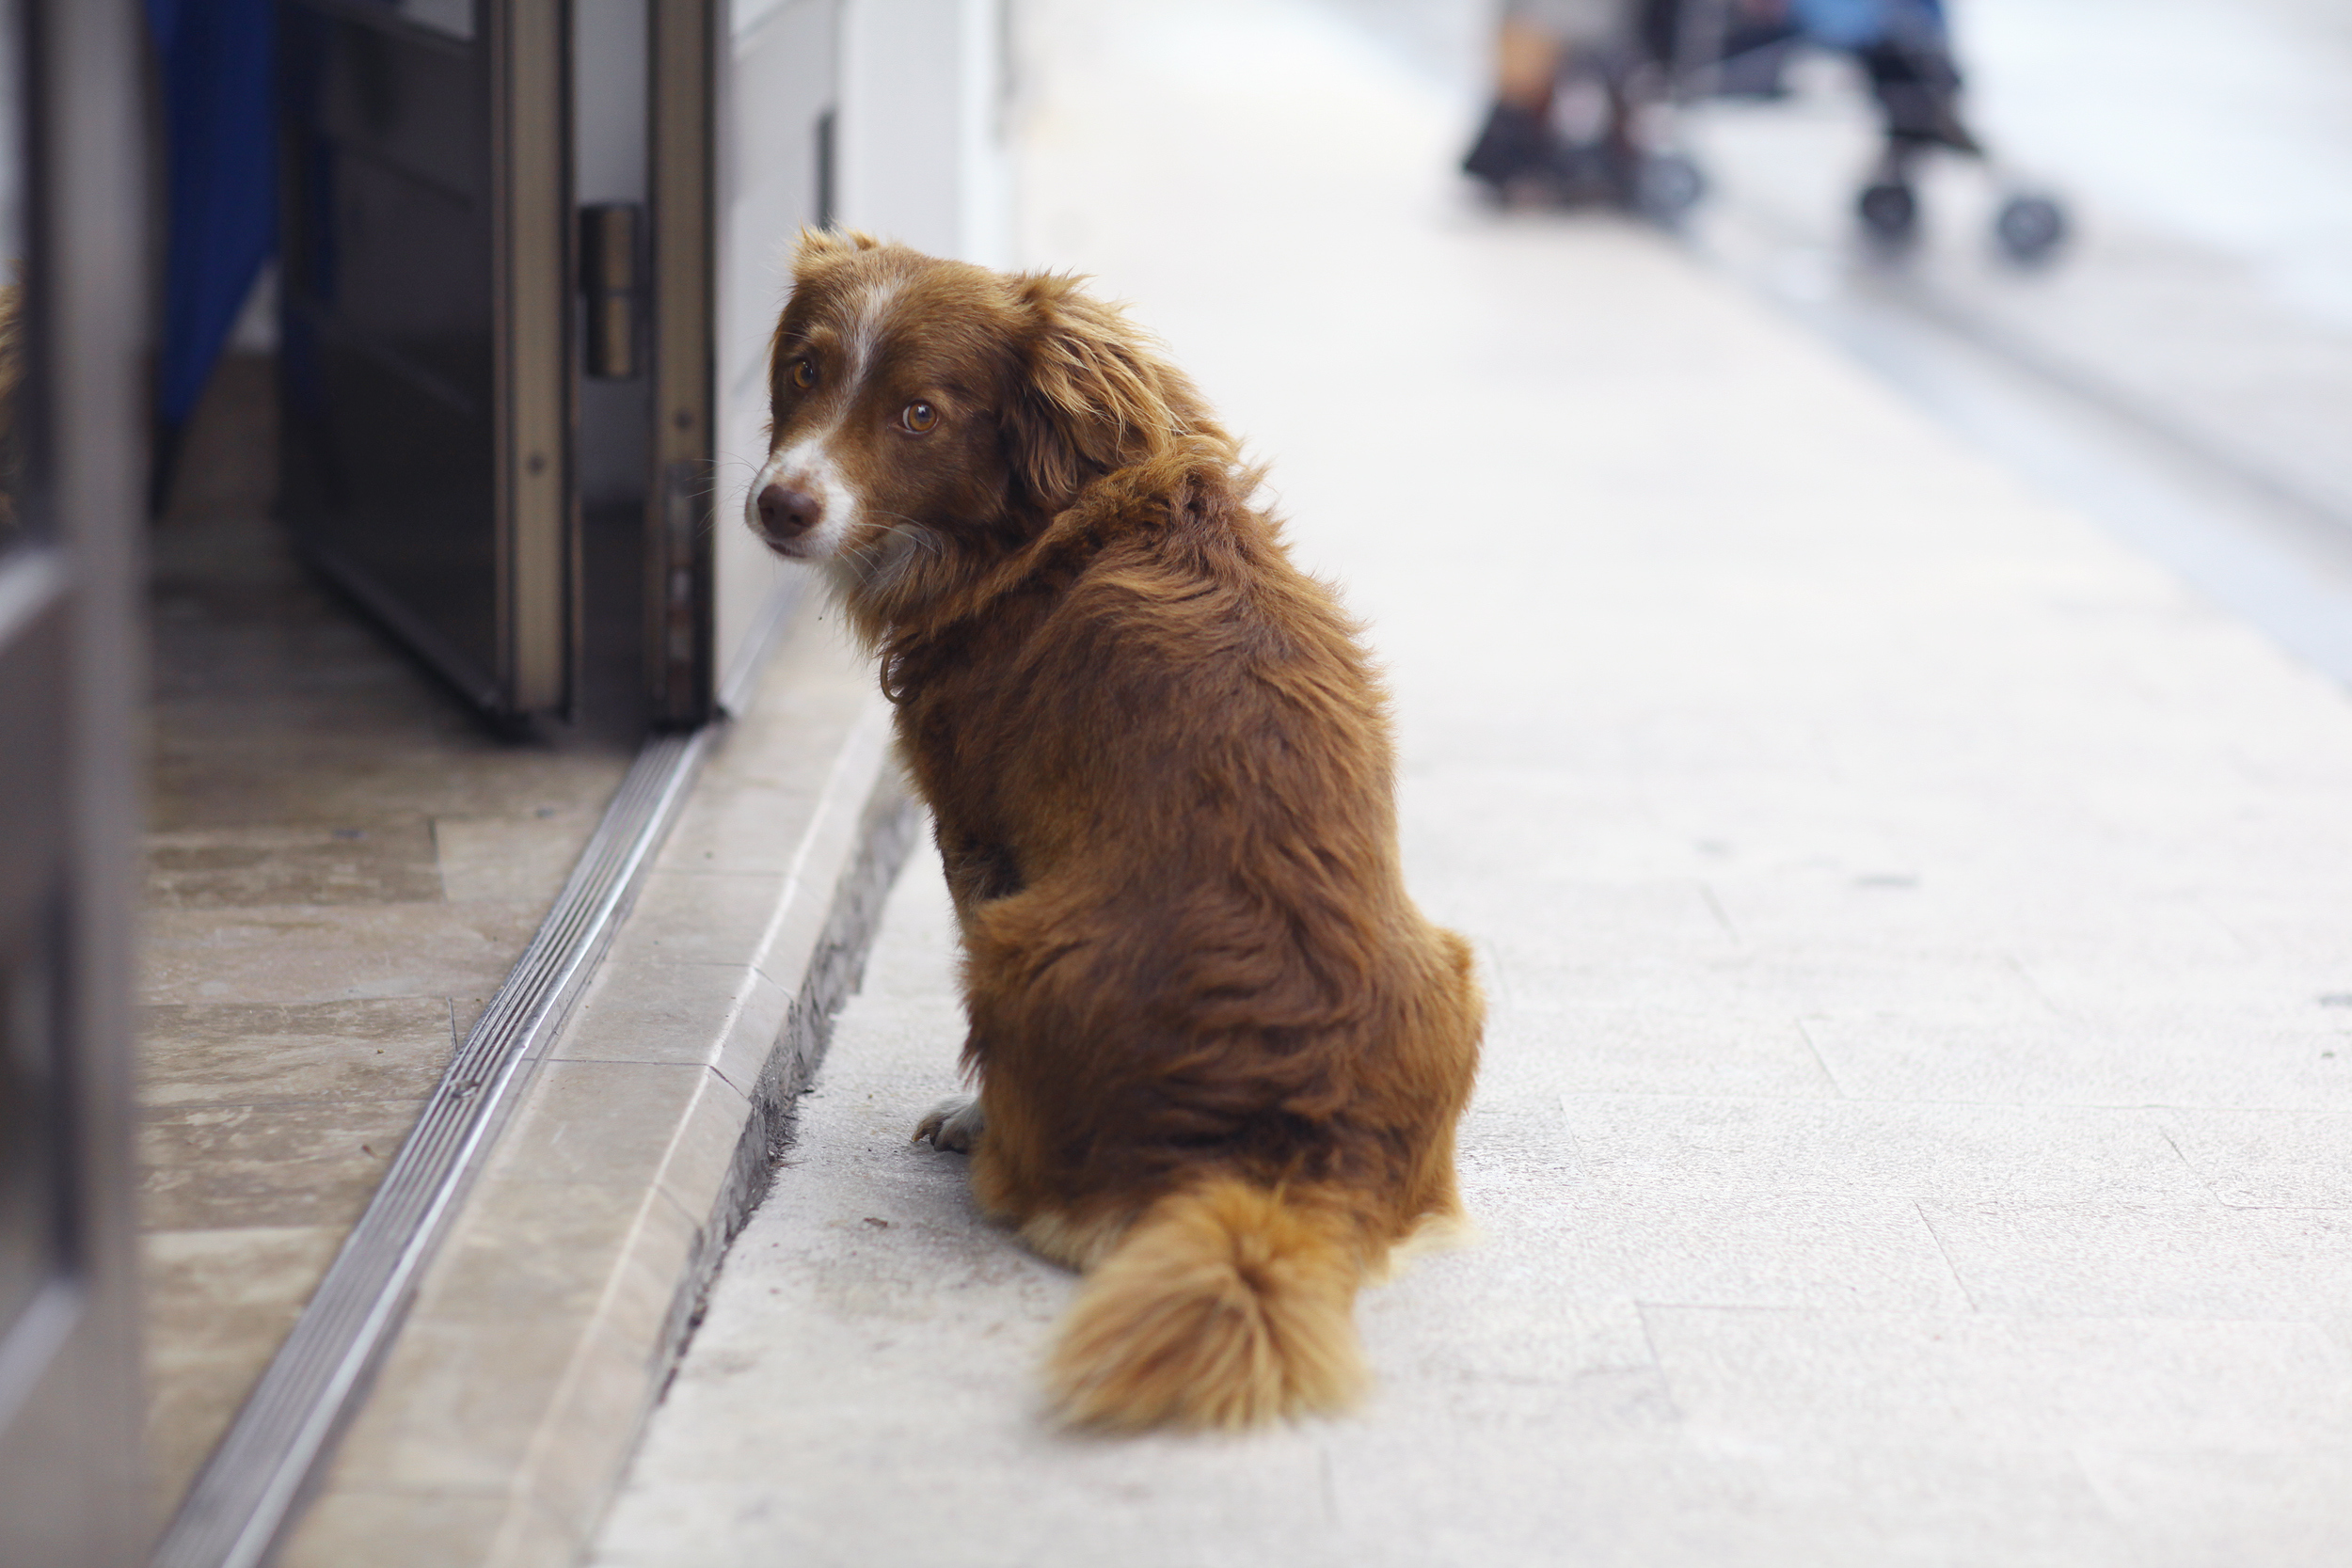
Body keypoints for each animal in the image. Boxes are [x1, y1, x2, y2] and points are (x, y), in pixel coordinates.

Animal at [743, 232, 1477, 1438]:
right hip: (1457, 964)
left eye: (918, 414)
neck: (1057, 525)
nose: (779, 505)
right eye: (804, 371)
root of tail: (1288, 1155)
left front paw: (969, 1107)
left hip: (1014, 948)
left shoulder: (974, 830)